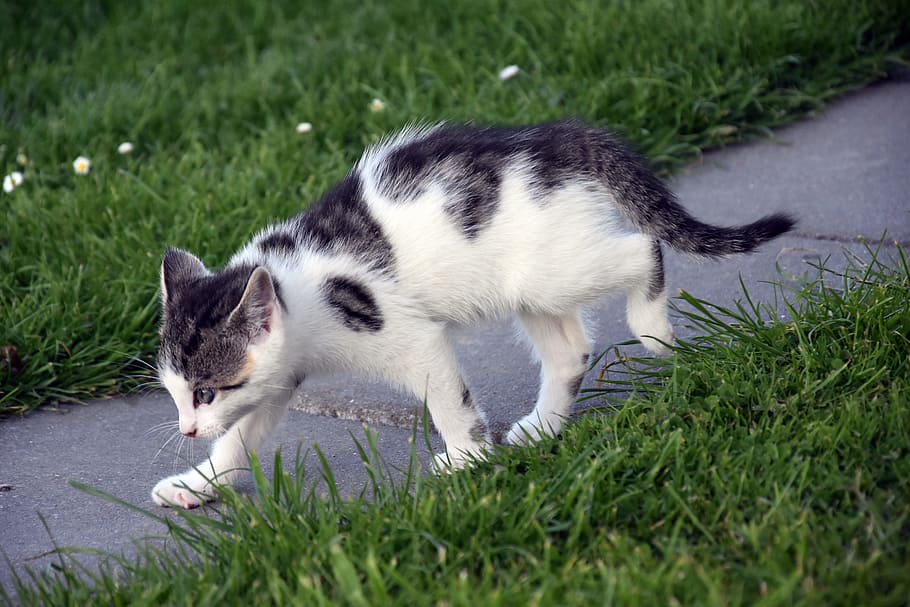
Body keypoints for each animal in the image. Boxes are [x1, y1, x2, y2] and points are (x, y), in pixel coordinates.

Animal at [153, 119, 796, 508]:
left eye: (206, 391)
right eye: (178, 395)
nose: (185, 428)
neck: (296, 290)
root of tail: (556, 138)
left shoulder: (409, 336)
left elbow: (448, 399)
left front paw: (466, 459)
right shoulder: (278, 376)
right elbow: (241, 438)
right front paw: (198, 483)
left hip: (550, 269)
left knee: (643, 248)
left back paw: (652, 329)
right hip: (531, 287)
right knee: (571, 349)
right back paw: (542, 428)